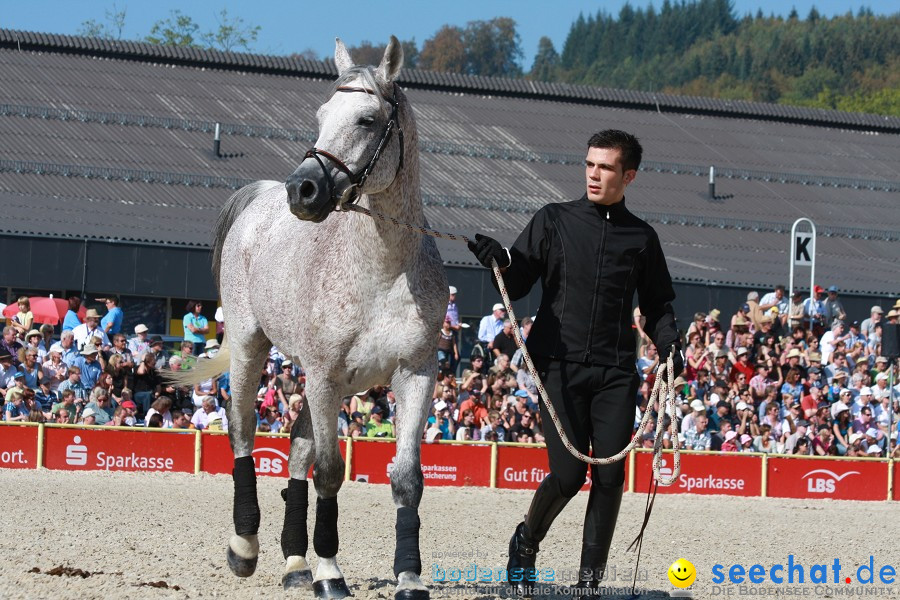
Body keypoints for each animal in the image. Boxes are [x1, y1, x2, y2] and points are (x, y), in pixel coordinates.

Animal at [182, 35, 446, 596]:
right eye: (322, 115)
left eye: (367, 119)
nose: (302, 189)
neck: (382, 271)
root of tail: (259, 200)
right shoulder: (324, 376)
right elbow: (329, 471)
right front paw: (331, 571)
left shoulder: (414, 374)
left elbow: (406, 478)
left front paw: (408, 575)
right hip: (252, 350)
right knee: (243, 432)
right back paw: (247, 548)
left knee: (297, 447)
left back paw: (295, 562)